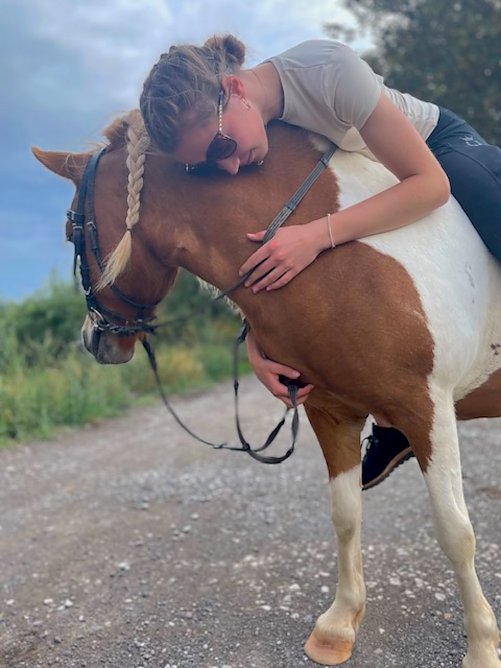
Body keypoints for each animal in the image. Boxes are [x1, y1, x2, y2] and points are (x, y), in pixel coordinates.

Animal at [33, 111, 501, 667]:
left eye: (69, 232)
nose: (93, 339)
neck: (334, 250)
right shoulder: (330, 410)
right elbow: (345, 515)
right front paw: (339, 625)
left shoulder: (427, 408)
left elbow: (455, 533)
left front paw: (481, 647)